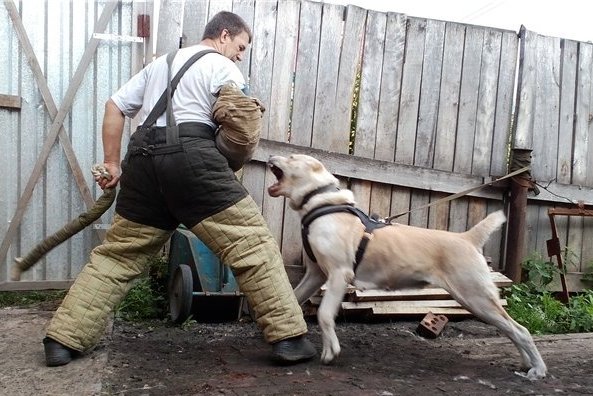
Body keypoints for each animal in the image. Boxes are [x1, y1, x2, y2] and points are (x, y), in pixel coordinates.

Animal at [268, 154, 544, 380]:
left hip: (475, 297)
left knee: (520, 330)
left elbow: (325, 314)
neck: (322, 204)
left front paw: (331, 351)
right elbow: (294, 298)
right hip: (477, 300)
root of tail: (468, 238)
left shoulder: (338, 274)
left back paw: (538, 370)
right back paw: (526, 364)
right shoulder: (316, 274)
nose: (271, 155)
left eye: (291, 157)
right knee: (512, 330)